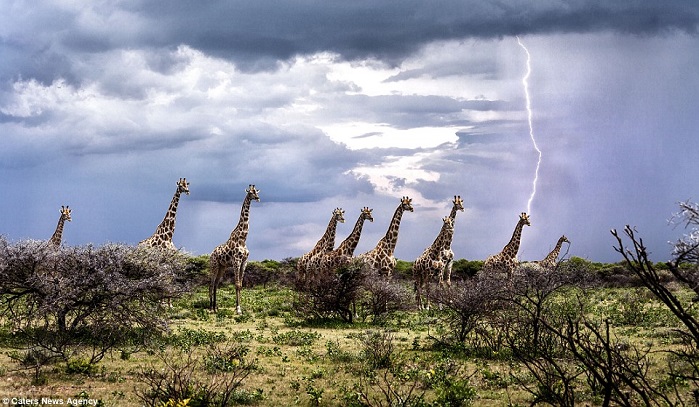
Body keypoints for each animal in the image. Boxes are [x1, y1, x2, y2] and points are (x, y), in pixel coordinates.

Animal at [208, 185, 260, 313]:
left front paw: (239, 307)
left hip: (222, 267)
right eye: (250, 193)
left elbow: (240, 285)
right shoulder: (236, 261)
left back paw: (216, 308)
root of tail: (211, 254)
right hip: (214, 265)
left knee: (216, 284)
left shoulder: (244, 262)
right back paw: (211, 308)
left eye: (256, 192)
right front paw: (238, 309)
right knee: (211, 284)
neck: (243, 238)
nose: (258, 198)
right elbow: (236, 284)